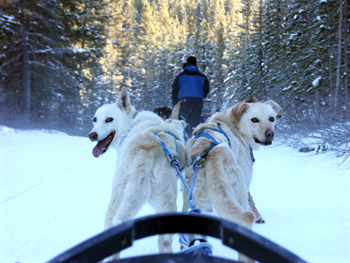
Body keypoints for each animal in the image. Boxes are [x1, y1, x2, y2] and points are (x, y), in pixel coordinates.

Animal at [89, 87, 187, 260]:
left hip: (117, 200)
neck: (130, 125)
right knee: (165, 242)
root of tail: (145, 154)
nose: (92, 135)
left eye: (109, 119)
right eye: (95, 119)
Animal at [183, 97, 282, 263]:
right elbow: (251, 199)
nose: (270, 134)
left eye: (271, 118)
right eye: (254, 120)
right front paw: (258, 216)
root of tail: (213, 155)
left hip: (192, 203)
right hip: (238, 196)